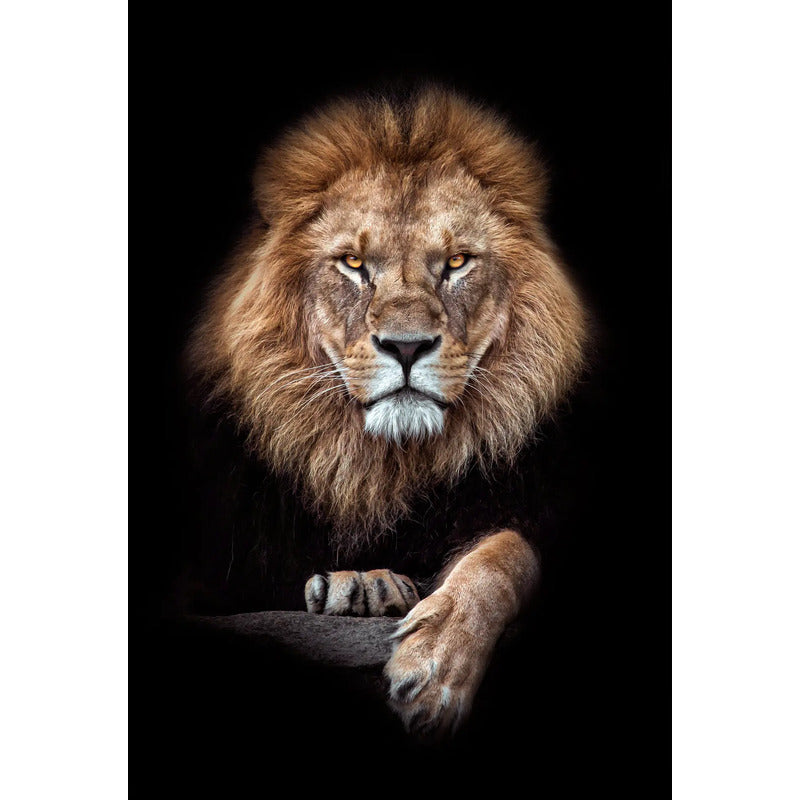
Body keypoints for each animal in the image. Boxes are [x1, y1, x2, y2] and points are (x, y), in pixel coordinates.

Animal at [182, 86, 588, 739]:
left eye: (456, 262)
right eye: (352, 264)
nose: (405, 345)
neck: (381, 466)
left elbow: (508, 553)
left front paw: (436, 667)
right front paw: (360, 586)